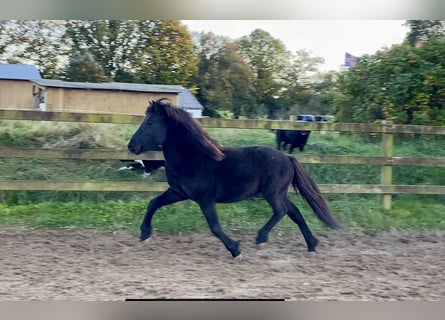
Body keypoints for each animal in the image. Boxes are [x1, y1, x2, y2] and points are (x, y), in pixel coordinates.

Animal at [128, 98, 340, 260]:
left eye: (150, 122)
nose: (131, 146)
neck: (192, 158)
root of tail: (287, 157)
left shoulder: (204, 198)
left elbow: (214, 226)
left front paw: (236, 250)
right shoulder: (178, 192)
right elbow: (154, 203)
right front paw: (145, 233)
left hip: (272, 193)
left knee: (281, 211)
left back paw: (261, 238)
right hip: (279, 193)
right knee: (294, 212)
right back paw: (312, 245)